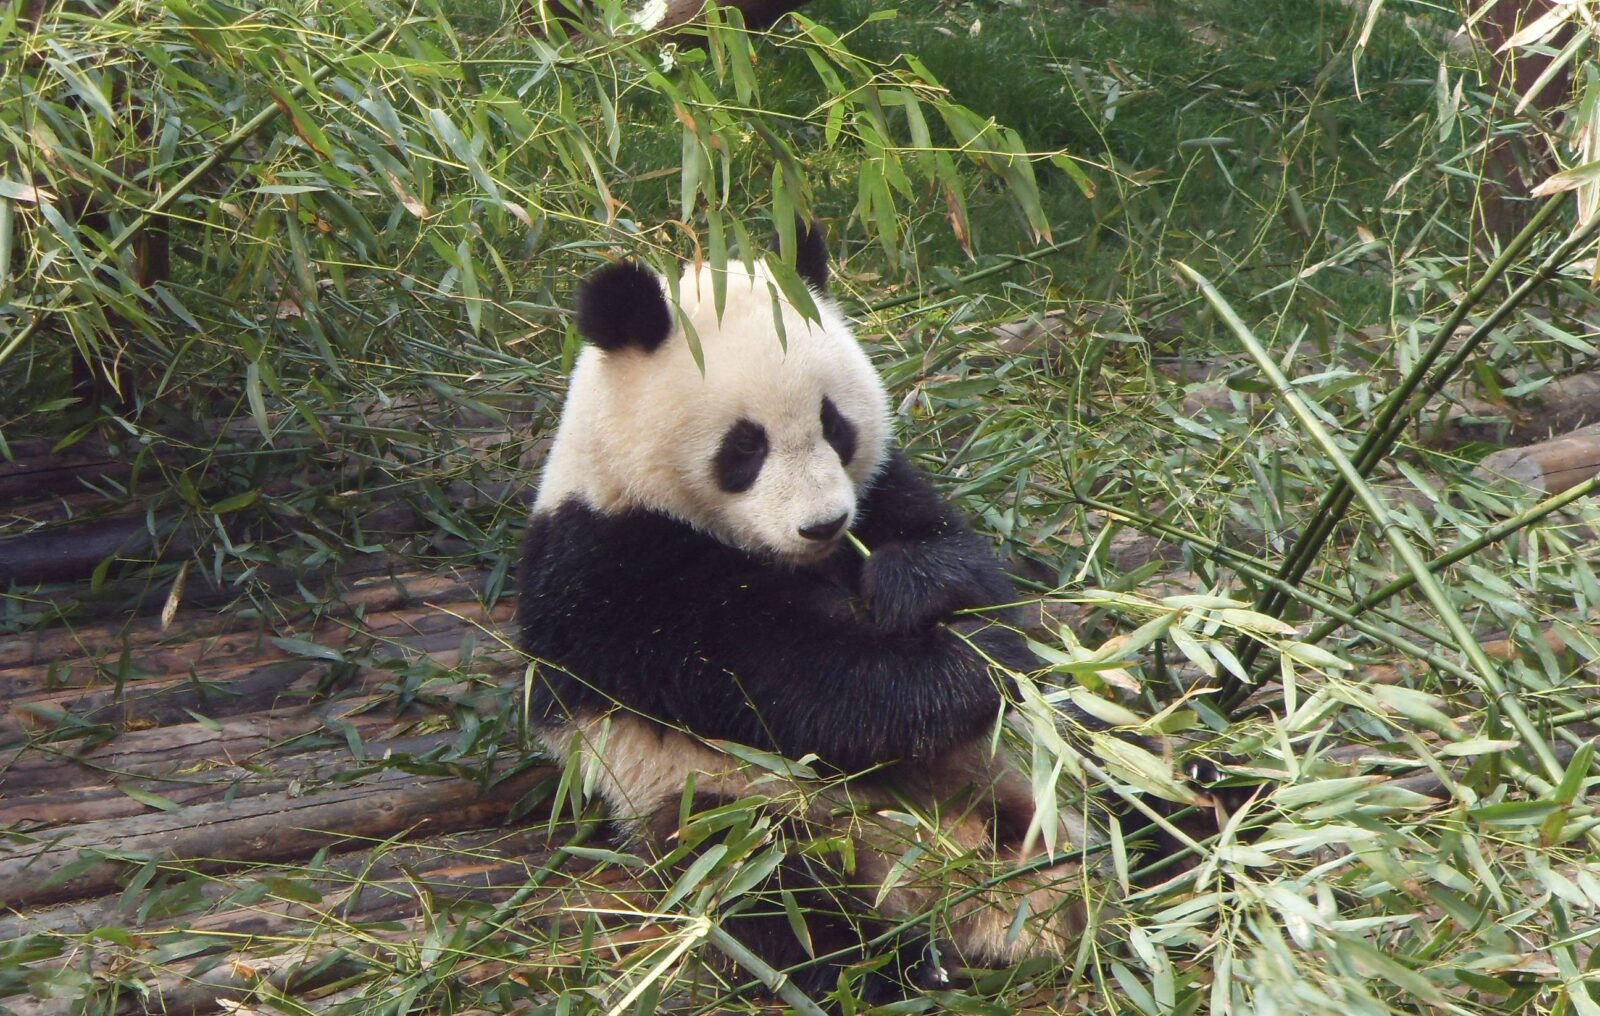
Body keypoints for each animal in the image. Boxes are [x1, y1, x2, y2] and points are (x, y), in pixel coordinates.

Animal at [517, 225, 1110, 1005]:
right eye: (744, 446)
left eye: (836, 425)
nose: (824, 524)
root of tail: (964, 888)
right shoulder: (618, 574)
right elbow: (796, 687)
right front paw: (968, 668)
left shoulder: (885, 487)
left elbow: (963, 560)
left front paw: (911, 586)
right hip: (729, 801)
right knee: (775, 888)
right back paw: (894, 970)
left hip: (1040, 774)